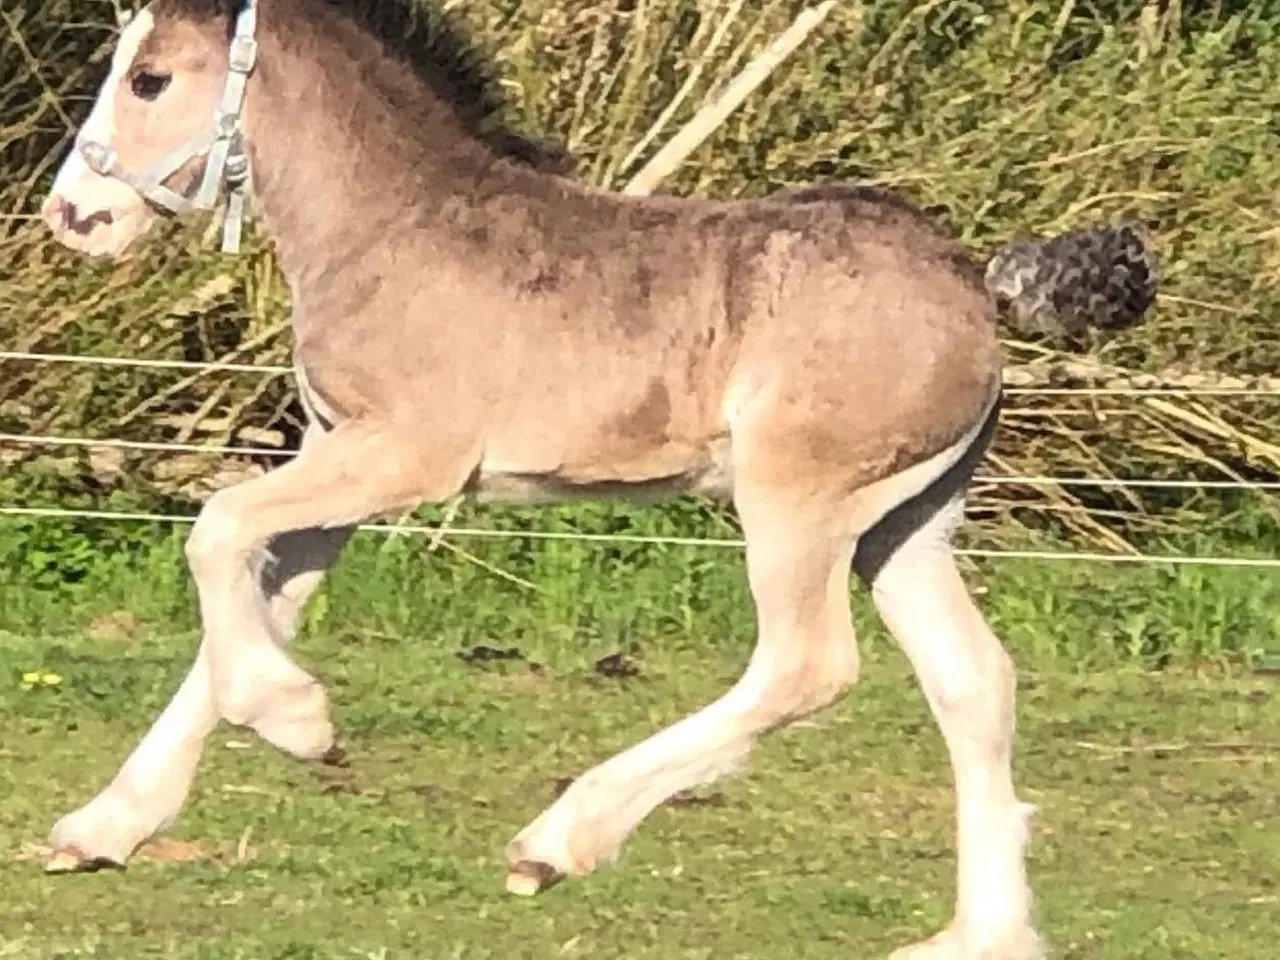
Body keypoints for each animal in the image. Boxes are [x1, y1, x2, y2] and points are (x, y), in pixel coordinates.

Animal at [45, 3, 1157, 957]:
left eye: (149, 78)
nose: (73, 216)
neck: (393, 229)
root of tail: (977, 283)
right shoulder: (334, 469)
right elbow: (243, 605)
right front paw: (100, 828)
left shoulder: (399, 457)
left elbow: (216, 529)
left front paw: (302, 722)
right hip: (906, 521)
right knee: (972, 679)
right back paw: (981, 935)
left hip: (797, 501)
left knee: (807, 664)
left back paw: (557, 841)